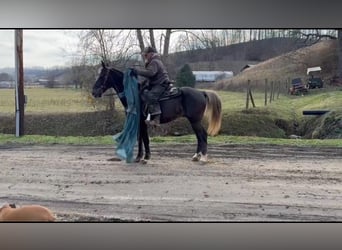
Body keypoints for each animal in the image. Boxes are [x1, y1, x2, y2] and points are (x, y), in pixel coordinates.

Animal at [92, 62, 223, 163]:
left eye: (103, 75)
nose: (94, 92)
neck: (134, 95)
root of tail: (201, 92)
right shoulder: (140, 123)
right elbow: (140, 139)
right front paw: (139, 157)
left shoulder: (142, 122)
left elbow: (145, 139)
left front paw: (146, 157)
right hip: (194, 121)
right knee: (199, 137)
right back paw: (196, 156)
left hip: (195, 121)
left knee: (202, 135)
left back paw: (203, 157)